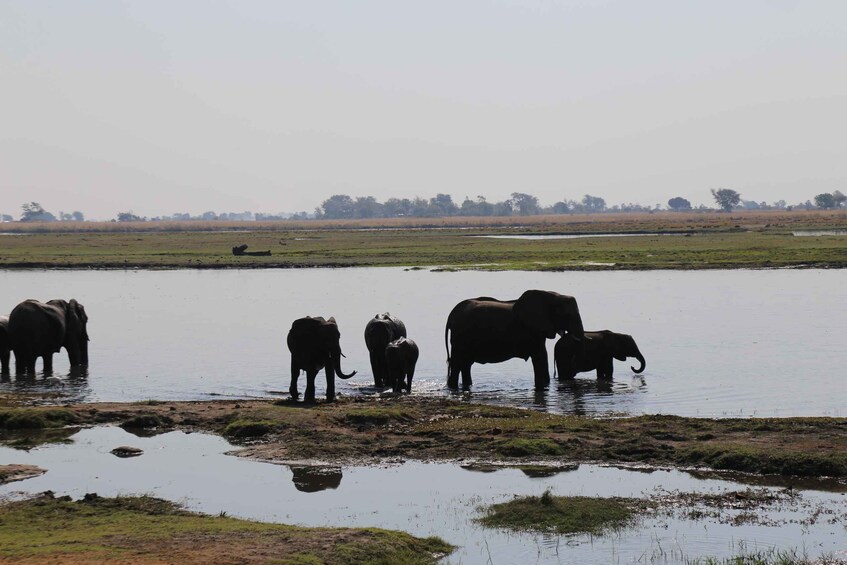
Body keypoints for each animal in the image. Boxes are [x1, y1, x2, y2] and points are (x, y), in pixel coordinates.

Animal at [448, 288, 588, 390]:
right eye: (566, 315)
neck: (552, 295)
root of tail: (451, 315)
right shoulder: (533, 328)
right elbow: (540, 357)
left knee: (465, 364)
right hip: (460, 336)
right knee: (456, 363)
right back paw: (453, 388)